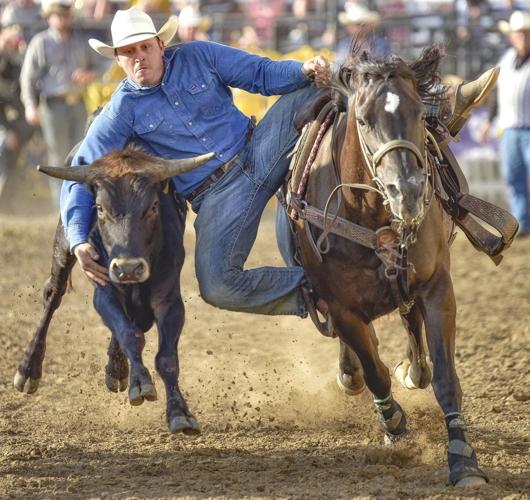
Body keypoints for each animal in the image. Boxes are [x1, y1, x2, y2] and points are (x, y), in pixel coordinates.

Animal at [288, 45, 486, 486]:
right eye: (363, 120)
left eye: (420, 115)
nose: (407, 191)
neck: (370, 214)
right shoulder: (341, 307)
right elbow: (374, 370)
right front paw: (394, 424)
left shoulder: (436, 286)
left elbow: (445, 377)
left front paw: (463, 458)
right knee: (365, 356)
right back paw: (355, 375)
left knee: (411, 325)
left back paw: (412, 369)